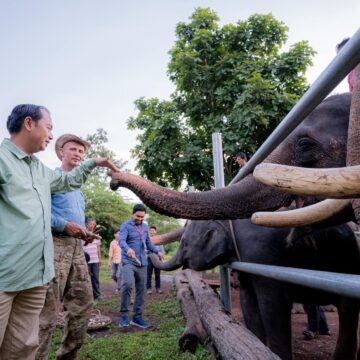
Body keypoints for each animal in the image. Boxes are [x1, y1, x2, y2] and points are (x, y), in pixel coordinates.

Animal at [150, 219, 360, 360]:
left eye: (184, 243)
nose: (151, 252)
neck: (228, 222)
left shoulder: (264, 256)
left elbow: (273, 306)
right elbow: (248, 301)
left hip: (347, 261)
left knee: (347, 309)